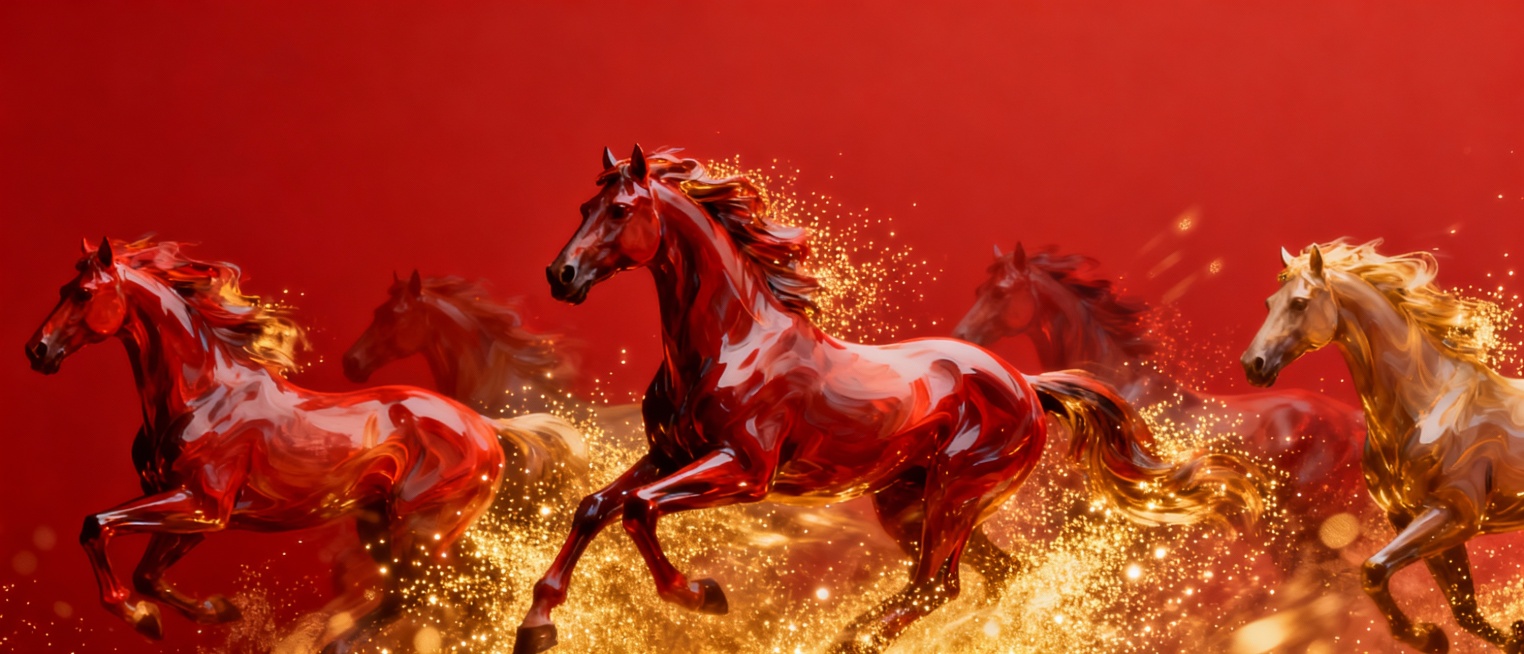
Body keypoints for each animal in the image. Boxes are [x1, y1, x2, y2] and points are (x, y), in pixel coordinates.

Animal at [23, 238, 586, 653]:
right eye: (64, 286)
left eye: (83, 293)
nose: (37, 351)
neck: (204, 391)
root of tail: (488, 425)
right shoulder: (197, 517)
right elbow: (146, 573)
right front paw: (213, 611)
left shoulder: (201, 506)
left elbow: (96, 526)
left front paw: (138, 616)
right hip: (385, 526)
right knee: (431, 592)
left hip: (424, 530)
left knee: (418, 595)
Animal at [512, 145, 1262, 654]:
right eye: (584, 207)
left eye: (621, 211)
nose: (560, 274)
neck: (730, 343)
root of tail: (1030, 386)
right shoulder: (670, 454)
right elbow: (596, 505)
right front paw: (537, 623)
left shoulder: (745, 471)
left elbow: (638, 509)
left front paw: (704, 596)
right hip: (908, 502)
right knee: (981, 576)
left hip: (955, 494)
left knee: (935, 584)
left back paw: (848, 638)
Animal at [1242, 240, 1524, 653]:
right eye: (1267, 303)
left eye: (1299, 303)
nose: (1253, 365)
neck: (1426, 407)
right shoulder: (1410, 518)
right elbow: (1463, 609)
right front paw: (1444, 637)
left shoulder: (1454, 514)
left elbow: (1372, 569)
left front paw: (1426, 636)